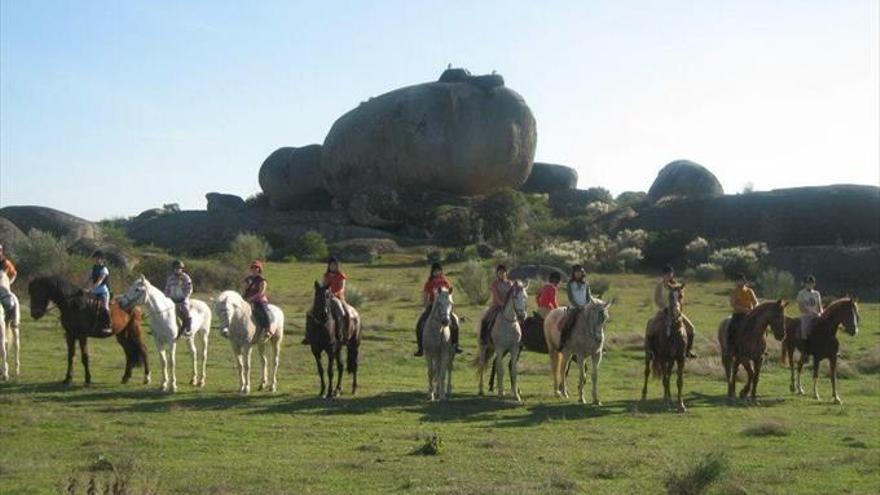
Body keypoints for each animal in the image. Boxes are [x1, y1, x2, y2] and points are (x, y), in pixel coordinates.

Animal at [640, 284, 688, 412]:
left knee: (668, 374)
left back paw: (670, 399)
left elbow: (679, 381)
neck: (674, 333)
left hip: (670, 360)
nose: (676, 312)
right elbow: (665, 380)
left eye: (681, 295)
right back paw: (644, 396)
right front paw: (666, 404)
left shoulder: (680, 358)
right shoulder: (662, 358)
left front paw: (681, 405)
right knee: (648, 372)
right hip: (649, 355)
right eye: (670, 296)